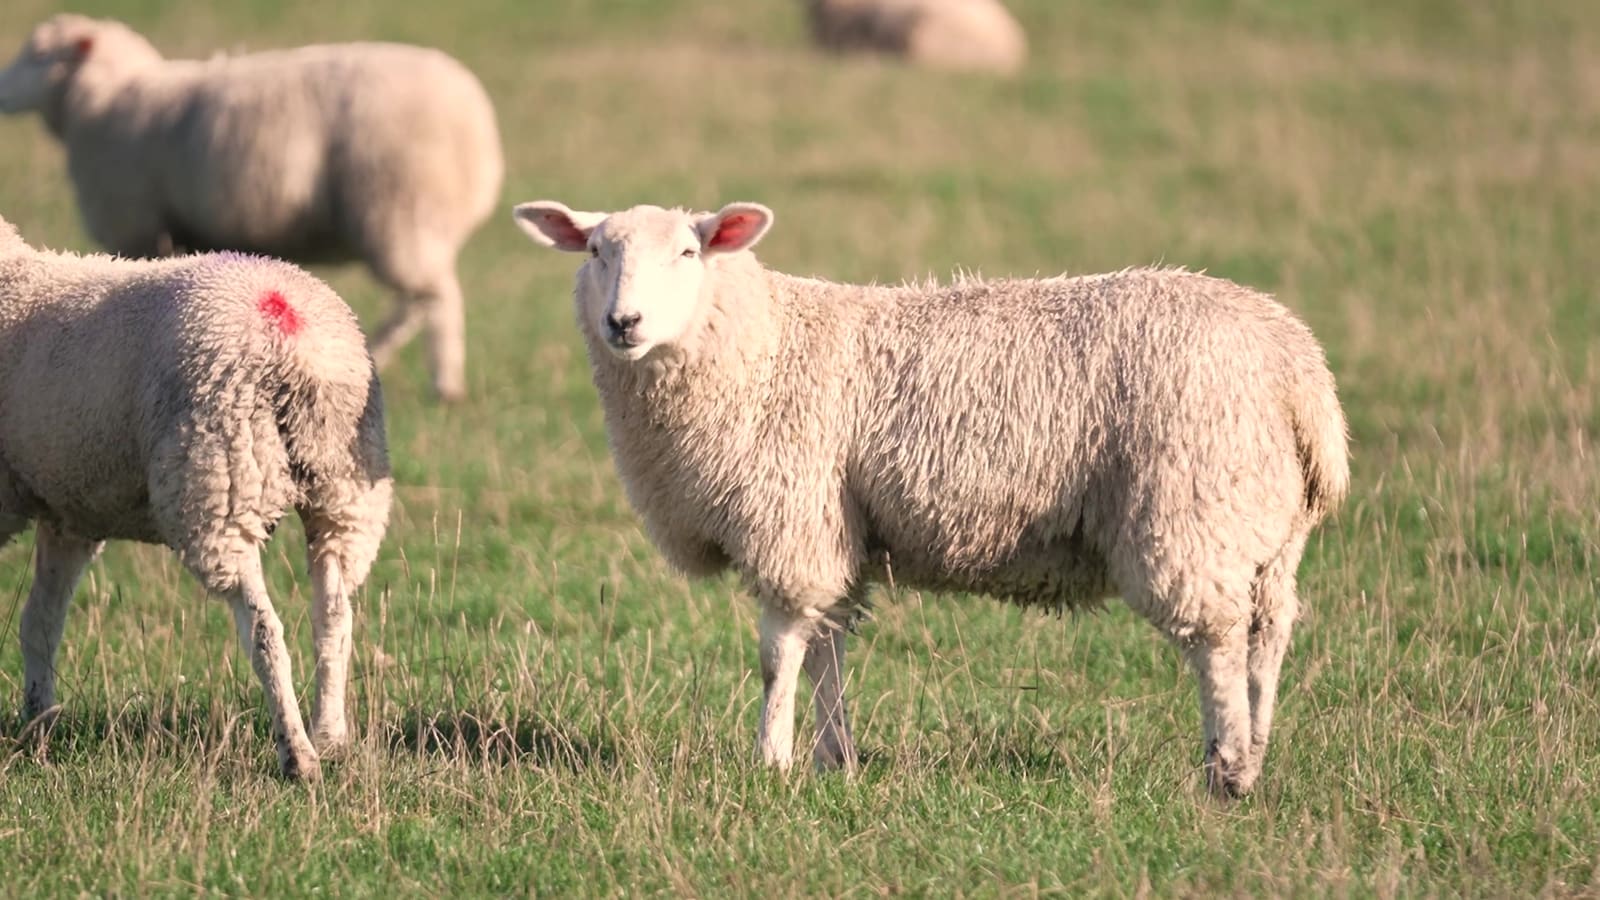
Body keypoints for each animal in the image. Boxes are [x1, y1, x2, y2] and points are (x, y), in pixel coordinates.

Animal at [0, 15, 504, 402]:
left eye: (39, 55)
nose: (1, 92)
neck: (106, 97)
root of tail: (476, 123)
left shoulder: (137, 227)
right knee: (419, 300)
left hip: (399, 213)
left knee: (436, 300)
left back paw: (442, 384)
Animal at [0, 212, 392, 781]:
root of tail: (291, 333)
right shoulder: (69, 513)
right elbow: (40, 624)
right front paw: (38, 725)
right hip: (344, 494)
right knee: (334, 619)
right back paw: (330, 737)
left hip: (219, 484)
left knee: (265, 632)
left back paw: (298, 755)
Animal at [511, 200, 1349, 797]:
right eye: (596, 251)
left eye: (688, 252)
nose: (624, 322)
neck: (764, 349)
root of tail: (1300, 373)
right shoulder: (835, 530)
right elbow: (828, 648)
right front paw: (835, 759)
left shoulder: (790, 524)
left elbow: (778, 656)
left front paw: (770, 761)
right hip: (1266, 527)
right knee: (1267, 637)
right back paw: (1257, 755)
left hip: (1193, 507)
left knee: (1217, 643)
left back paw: (1226, 771)